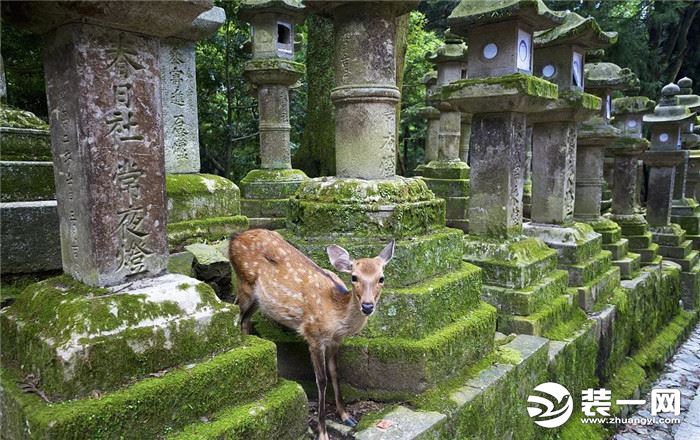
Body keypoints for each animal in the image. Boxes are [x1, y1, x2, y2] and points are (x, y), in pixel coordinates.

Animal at [230, 229, 394, 440]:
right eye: (354, 277)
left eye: (381, 278)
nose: (367, 306)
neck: (336, 317)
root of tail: (234, 237)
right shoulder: (313, 336)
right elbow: (321, 380)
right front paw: (322, 432)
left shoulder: (335, 341)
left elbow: (335, 372)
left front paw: (346, 416)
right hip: (244, 284)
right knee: (238, 315)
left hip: (258, 299)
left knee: (245, 319)